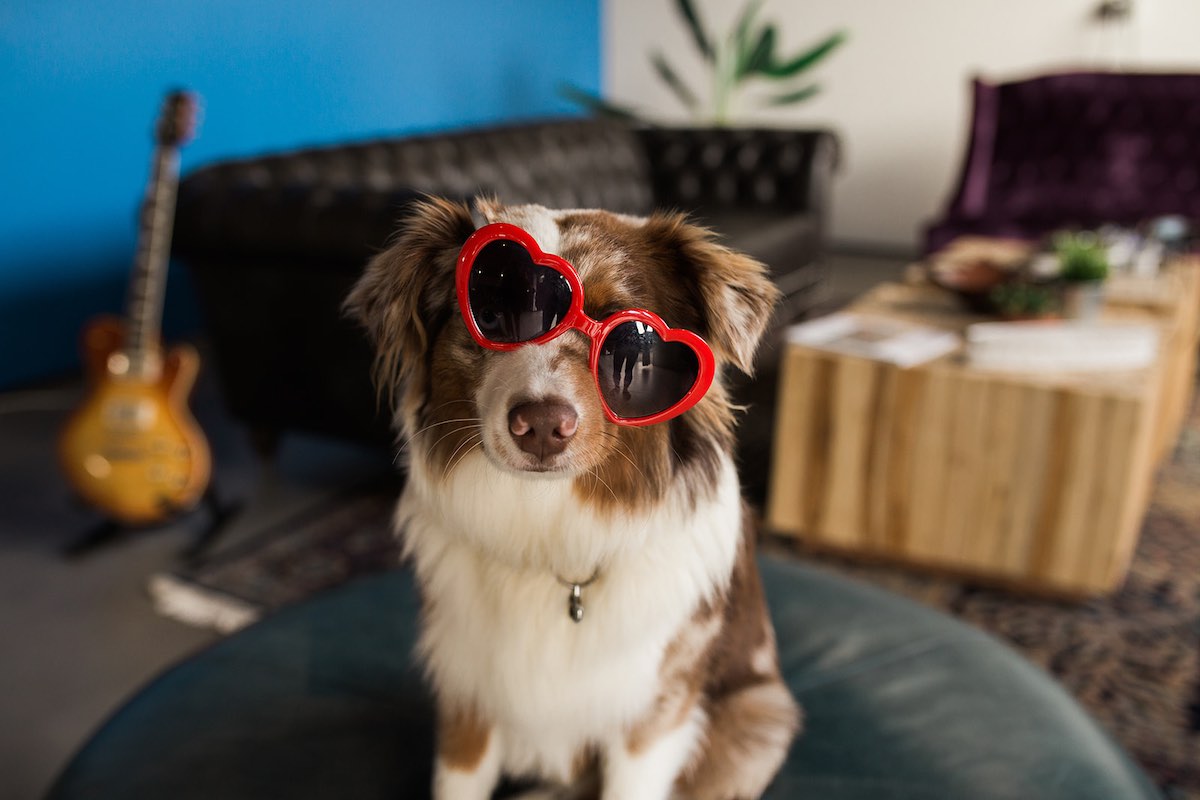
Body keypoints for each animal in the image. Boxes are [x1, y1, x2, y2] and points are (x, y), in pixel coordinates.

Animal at [345, 196, 796, 796]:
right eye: (494, 311)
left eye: (633, 343)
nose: (541, 425)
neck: (552, 537)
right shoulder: (467, 694)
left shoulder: (654, 716)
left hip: (759, 716)